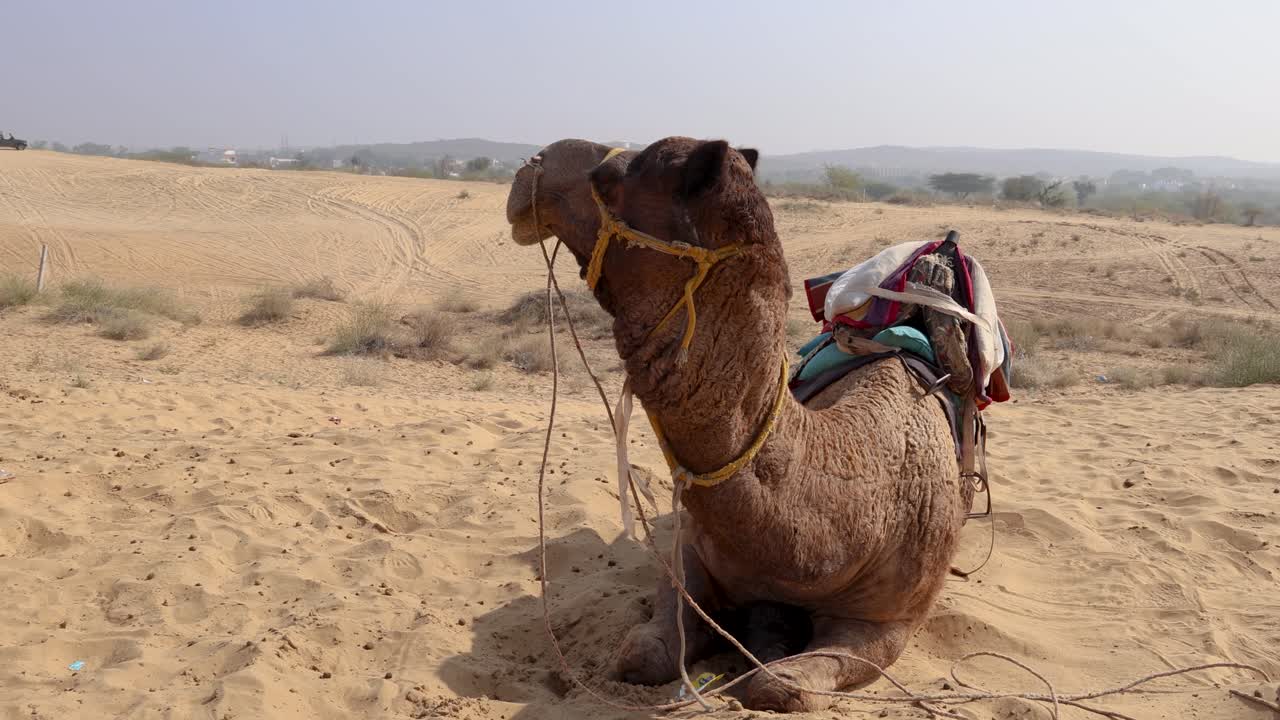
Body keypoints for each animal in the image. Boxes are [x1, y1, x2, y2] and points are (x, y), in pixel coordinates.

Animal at [506, 137, 974, 712]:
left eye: (607, 178)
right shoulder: (690, 555)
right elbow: (643, 652)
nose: (533, 166)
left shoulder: (889, 620)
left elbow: (782, 686)